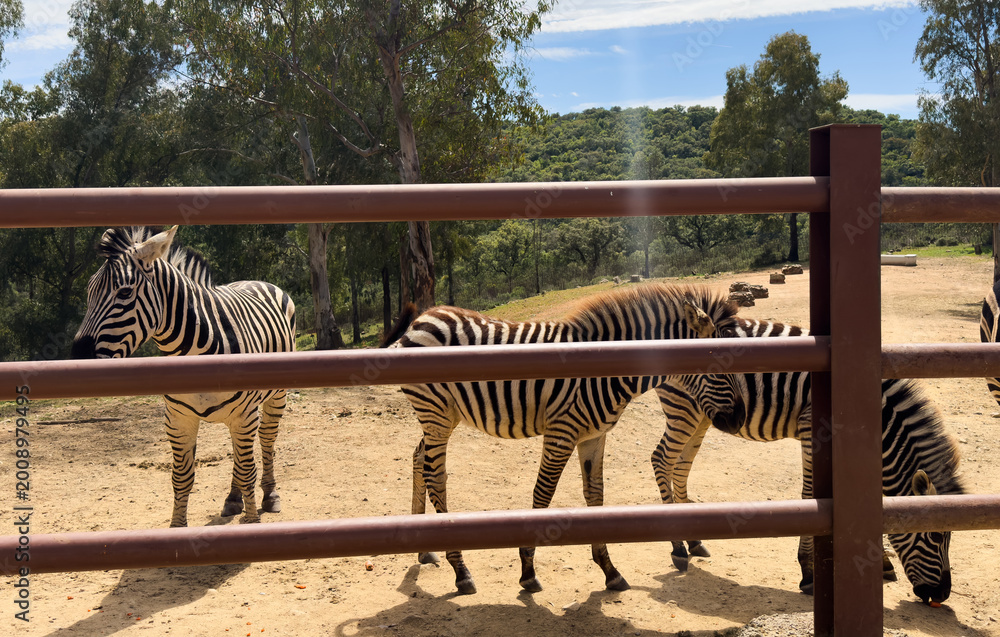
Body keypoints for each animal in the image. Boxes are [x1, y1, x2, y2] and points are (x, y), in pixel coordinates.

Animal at [70, 226, 296, 528]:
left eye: (125, 292)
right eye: (89, 291)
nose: (77, 357)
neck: (191, 351)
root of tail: (254, 280)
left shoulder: (244, 416)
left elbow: (248, 471)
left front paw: (251, 524)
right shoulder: (178, 420)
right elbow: (182, 478)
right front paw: (177, 528)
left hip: (275, 397)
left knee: (267, 440)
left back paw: (270, 495)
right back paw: (232, 498)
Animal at [381, 284, 742, 595]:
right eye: (717, 367)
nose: (738, 420)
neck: (606, 369)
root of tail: (421, 320)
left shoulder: (594, 436)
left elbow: (595, 496)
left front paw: (609, 571)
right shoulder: (561, 432)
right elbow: (543, 495)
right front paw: (528, 571)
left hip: (443, 417)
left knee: (419, 458)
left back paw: (425, 550)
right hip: (436, 412)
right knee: (436, 475)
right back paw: (461, 571)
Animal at [652, 317, 964, 605]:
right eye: (936, 537)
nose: (944, 594)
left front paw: (882, 562)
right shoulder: (810, 428)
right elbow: (811, 497)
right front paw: (809, 572)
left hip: (703, 415)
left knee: (681, 467)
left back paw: (694, 541)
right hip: (685, 407)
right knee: (662, 459)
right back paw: (678, 548)